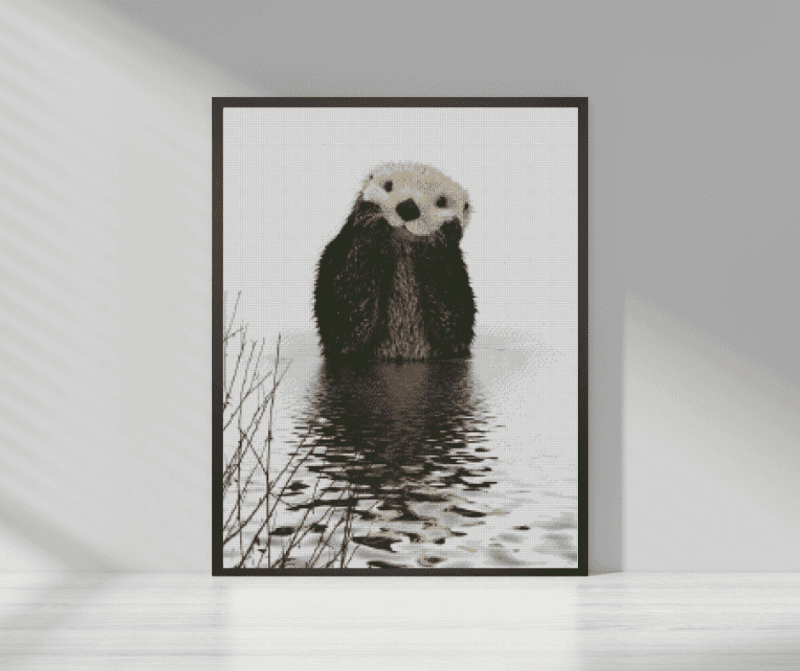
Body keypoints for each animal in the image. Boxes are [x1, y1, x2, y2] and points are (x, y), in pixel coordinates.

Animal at [314, 163, 476, 360]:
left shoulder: (457, 279)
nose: (408, 207)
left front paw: (438, 237)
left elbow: (454, 325)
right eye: (388, 186)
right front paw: (373, 219)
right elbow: (345, 318)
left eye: (442, 202)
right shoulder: (336, 257)